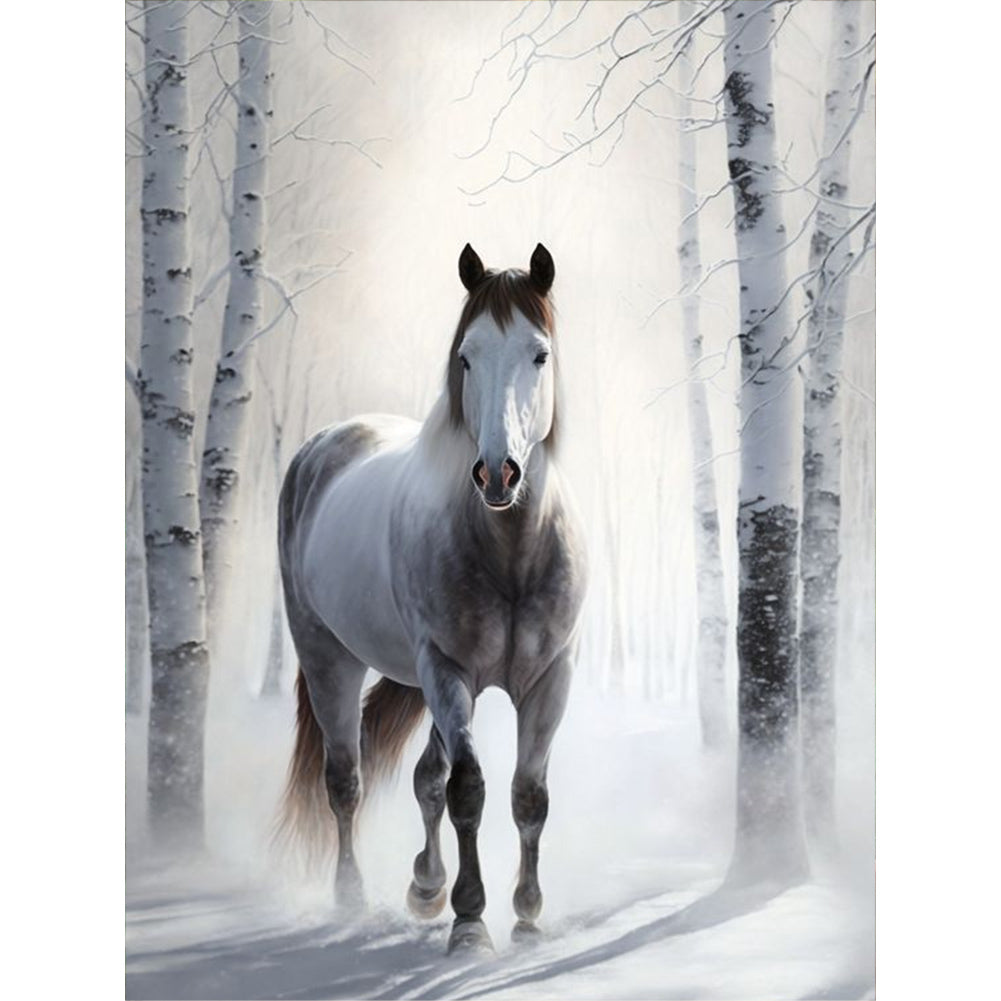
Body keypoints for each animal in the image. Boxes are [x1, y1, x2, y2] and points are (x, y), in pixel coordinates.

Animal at [276, 243, 588, 953]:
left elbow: (528, 795)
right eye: (466, 355)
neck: (510, 553)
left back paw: (424, 887)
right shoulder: (448, 673)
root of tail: (324, 444)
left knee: (424, 779)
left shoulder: (549, 680)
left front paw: (526, 916)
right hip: (330, 659)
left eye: (540, 353)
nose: (498, 473)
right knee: (346, 779)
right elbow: (467, 789)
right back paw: (352, 899)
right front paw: (470, 922)